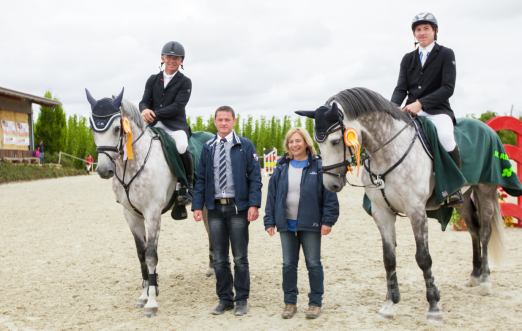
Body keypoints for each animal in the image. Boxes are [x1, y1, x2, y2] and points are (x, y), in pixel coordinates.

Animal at [85, 89, 213, 320]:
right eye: (93, 128)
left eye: (117, 128)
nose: (103, 170)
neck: (131, 164)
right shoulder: (131, 214)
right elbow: (141, 255)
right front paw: (144, 295)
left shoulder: (152, 212)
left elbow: (151, 255)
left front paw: (152, 302)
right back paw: (212, 267)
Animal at [298, 88, 506, 324]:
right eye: (317, 143)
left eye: (334, 141)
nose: (331, 185)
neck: (387, 152)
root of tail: (487, 128)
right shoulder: (382, 212)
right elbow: (389, 259)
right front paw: (389, 305)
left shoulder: (416, 210)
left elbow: (423, 258)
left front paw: (433, 307)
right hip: (464, 199)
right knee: (473, 230)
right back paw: (474, 275)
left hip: (485, 190)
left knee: (485, 232)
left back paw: (485, 281)